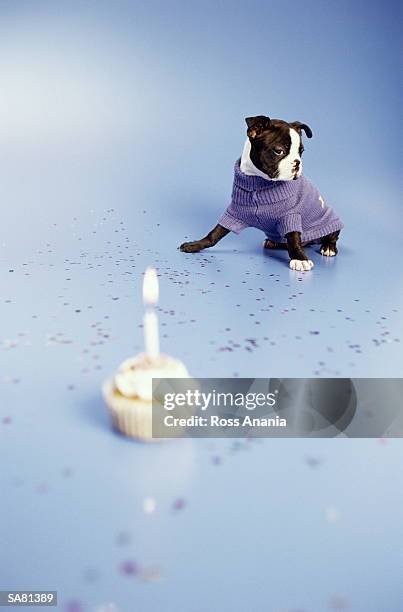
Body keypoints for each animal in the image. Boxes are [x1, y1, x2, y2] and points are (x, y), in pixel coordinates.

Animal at [180, 115, 344, 272]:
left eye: (301, 152)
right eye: (279, 151)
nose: (297, 163)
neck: (257, 182)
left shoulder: (290, 215)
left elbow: (293, 238)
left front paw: (299, 259)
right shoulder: (234, 212)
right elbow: (215, 233)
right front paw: (195, 245)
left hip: (329, 219)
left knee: (332, 236)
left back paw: (328, 247)